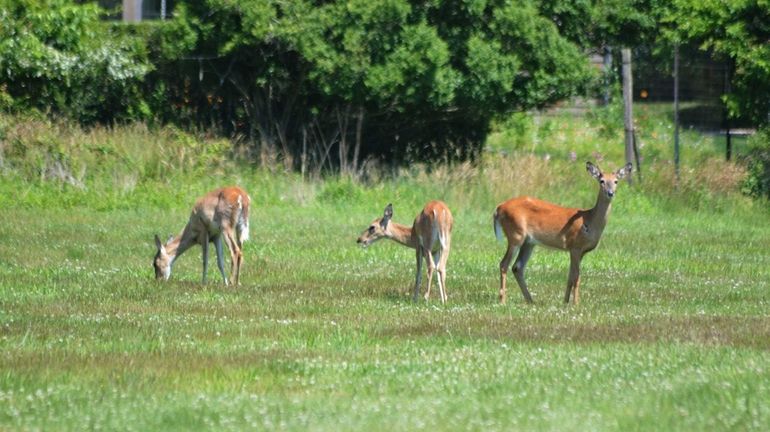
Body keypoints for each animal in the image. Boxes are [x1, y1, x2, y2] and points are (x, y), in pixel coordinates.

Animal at [492, 160, 632, 306]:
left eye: (616, 181)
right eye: (602, 181)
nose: (610, 193)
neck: (590, 221)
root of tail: (499, 208)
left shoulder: (579, 251)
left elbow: (570, 276)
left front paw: (565, 302)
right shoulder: (575, 246)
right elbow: (576, 276)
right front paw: (576, 303)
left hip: (528, 242)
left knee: (517, 267)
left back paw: (530, 300)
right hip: (515, 234)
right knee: (504, 264)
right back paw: (503, 300)